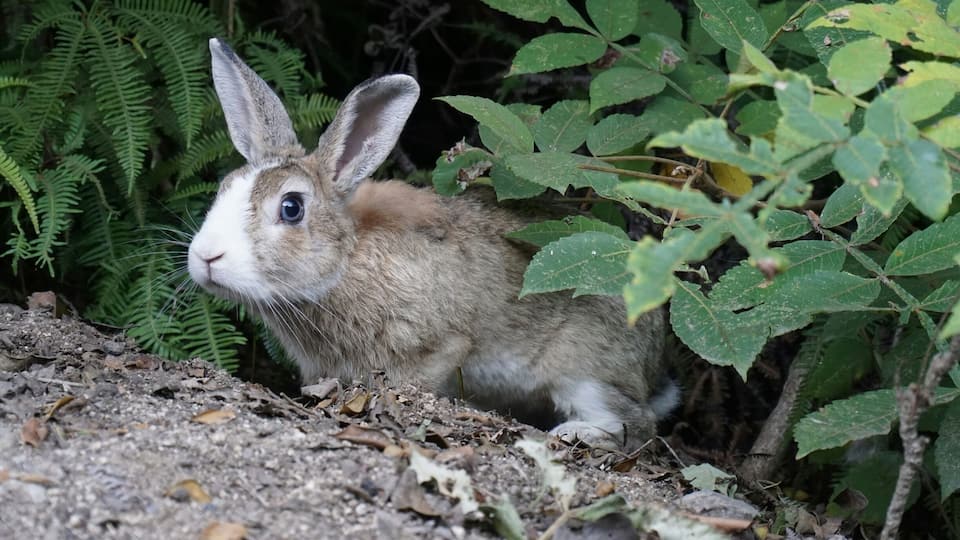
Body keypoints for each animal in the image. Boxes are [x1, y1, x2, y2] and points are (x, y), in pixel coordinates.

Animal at [187, 38, 676, 450]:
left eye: (291, 208)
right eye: (224, 189)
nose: (206, 256)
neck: (347, 259)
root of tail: (655, 357)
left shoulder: (438, 344)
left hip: (584, 369)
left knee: (637, 424)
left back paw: (577, 432)